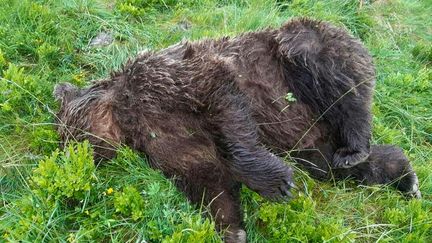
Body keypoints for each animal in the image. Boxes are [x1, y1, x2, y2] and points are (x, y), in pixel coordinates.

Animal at [52, 18, 420, 242]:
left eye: (68, 133)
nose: (71, 156)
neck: (127, 118)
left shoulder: (172, 79)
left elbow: (223, 106)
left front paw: (277, 184)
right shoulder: (166, 142)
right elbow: (206, 178)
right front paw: (231, 229)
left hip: (303, 54)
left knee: (333, 80)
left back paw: (356, 144)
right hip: (312, 140)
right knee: (330, 166)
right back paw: (402, 176)